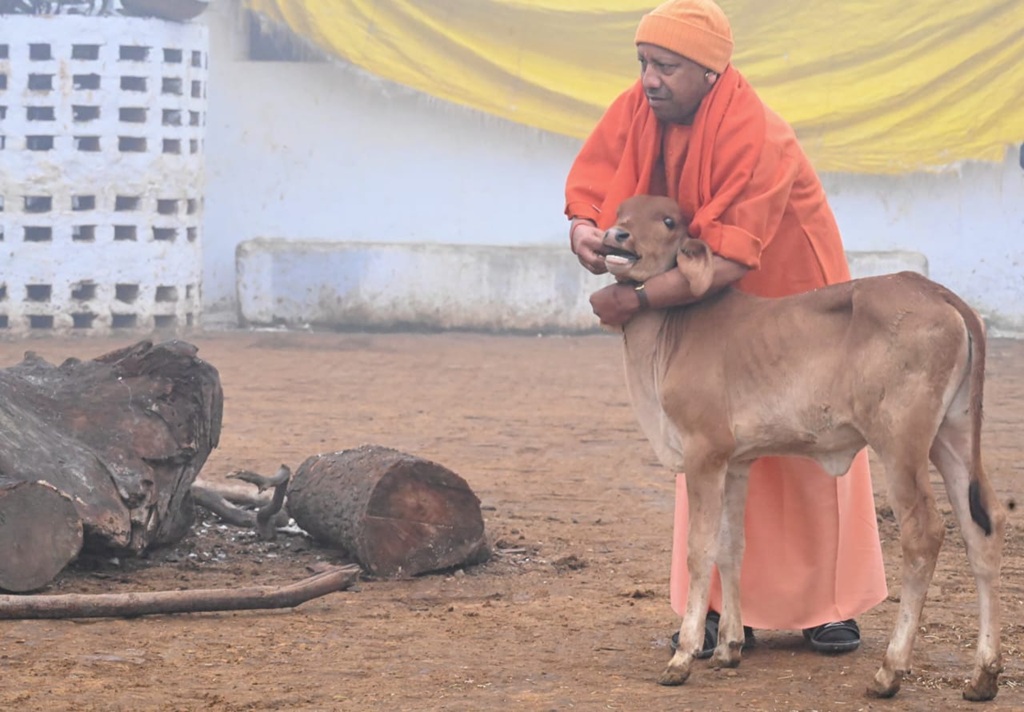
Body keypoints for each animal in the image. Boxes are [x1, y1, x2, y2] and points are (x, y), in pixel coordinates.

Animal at [602, 193, 1003, 700]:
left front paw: (685, 655)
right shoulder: (737, 461)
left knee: (925, 533)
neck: (671, 335)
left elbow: (700, 549)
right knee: (981, 527)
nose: (616, 236)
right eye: (621, 213)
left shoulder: (703, 453)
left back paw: (890, 671)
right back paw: (983, 675)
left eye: (669, 220)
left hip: (901, 441)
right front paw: (729, 647)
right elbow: (733, 546)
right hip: (953, 434)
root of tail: (937, 292)